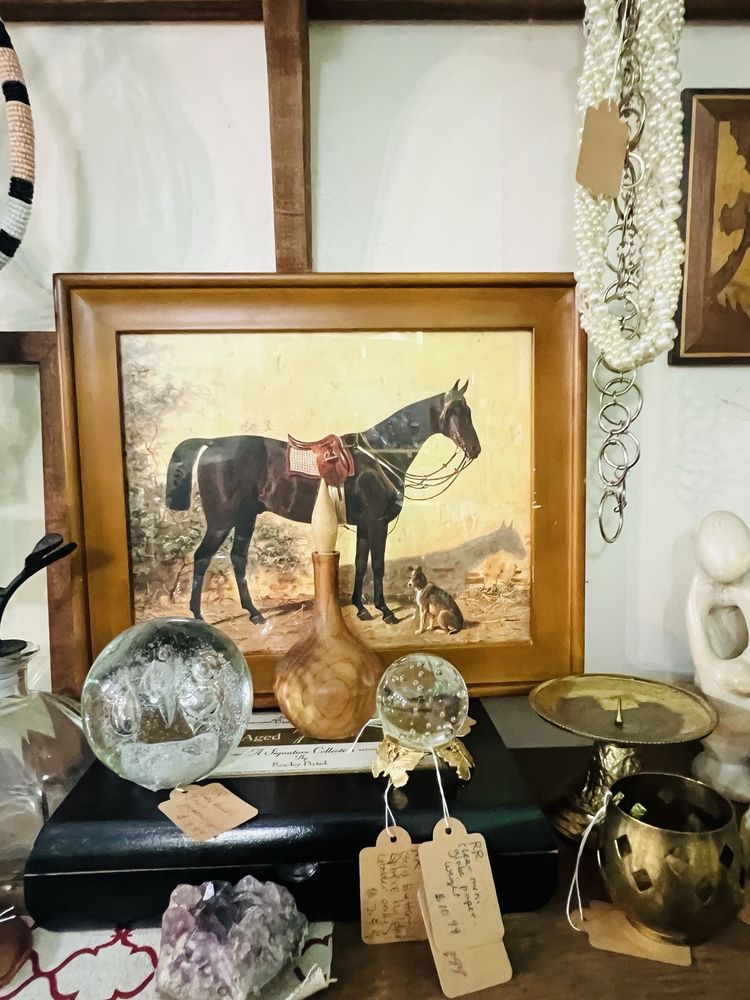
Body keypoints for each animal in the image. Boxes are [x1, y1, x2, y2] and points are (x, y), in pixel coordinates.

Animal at [165, 380, 481, 626]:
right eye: (458, 412)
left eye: (468, 411)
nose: (475, 449)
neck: (379, 456)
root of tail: (213, 443)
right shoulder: (377, 523)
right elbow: (377, 566)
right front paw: (385, 611)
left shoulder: (364, 525)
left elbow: (361, 564)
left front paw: (362, 608)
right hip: (221, 522)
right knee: (202, 558)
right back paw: (198, 617)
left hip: (245, 519)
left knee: (237, 559)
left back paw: (254, 613)